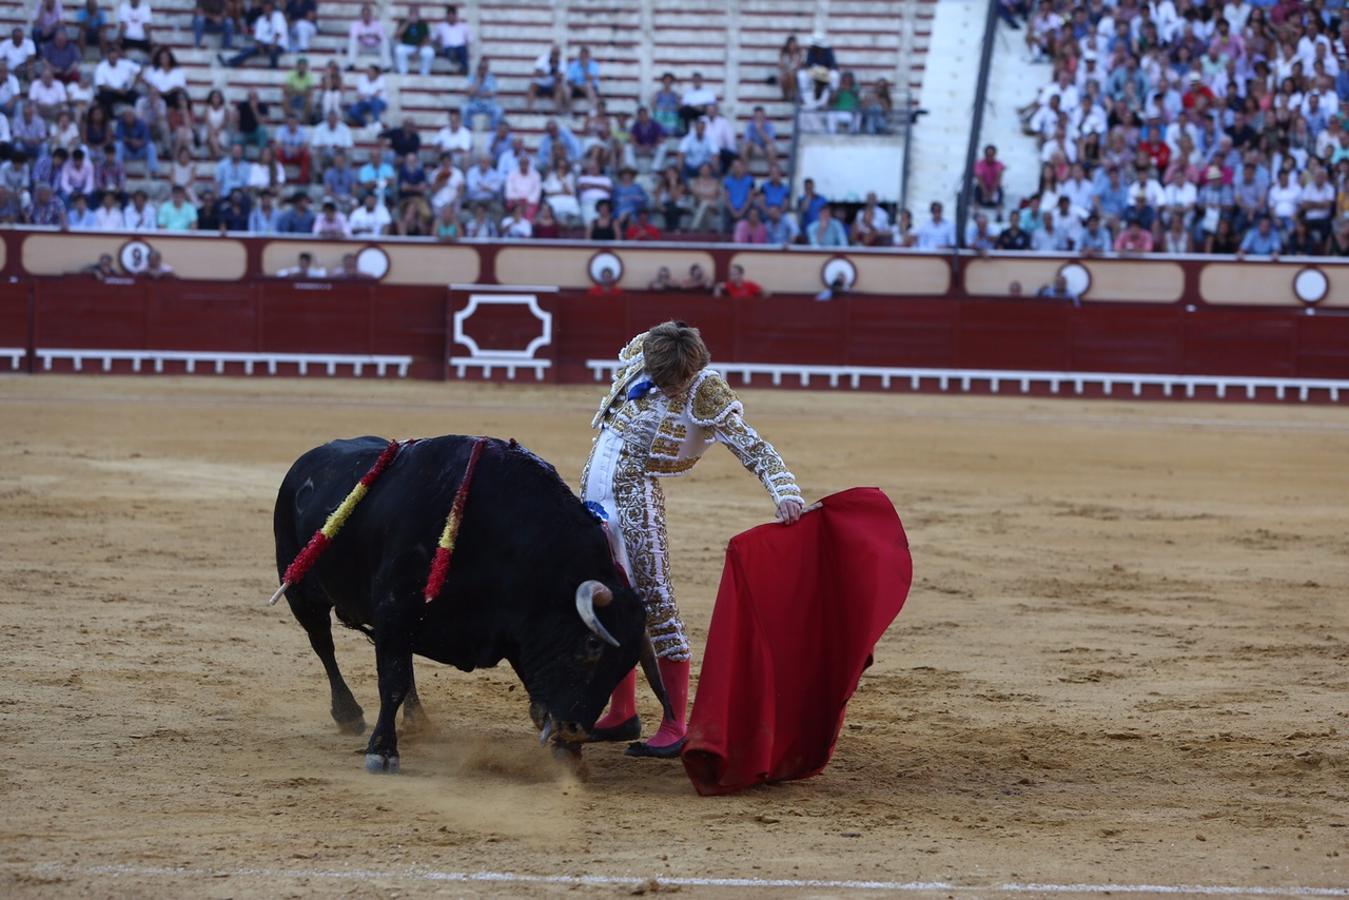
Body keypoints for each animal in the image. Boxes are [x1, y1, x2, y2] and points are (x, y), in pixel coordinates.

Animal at [272, 431, 669, 771]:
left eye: (627, 663)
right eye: (591, 645)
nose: (575, 730)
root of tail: (305, 462)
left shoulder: (513, 628)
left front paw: (566, 754)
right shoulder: (395, 611)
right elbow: (392, 682)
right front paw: (382, 752)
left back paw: (418, 718)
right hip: (300, 592)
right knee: (324, 645)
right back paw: (349, 713)